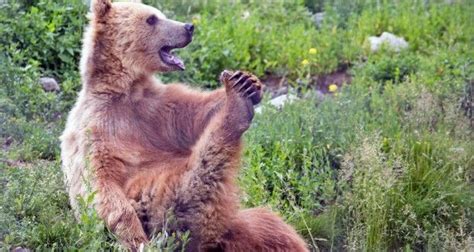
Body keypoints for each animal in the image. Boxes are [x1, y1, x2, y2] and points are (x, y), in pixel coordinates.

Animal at [59, 0, 310, 251]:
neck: (125, 89)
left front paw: (250, 82)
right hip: (156, 196)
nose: (189, 27)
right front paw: (135, 238)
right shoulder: (97, 126)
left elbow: (195, 112)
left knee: (271, 228)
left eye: (159, 13)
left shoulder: (157, 109)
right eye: (151, 19)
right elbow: (99, 182)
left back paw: (239, 95)